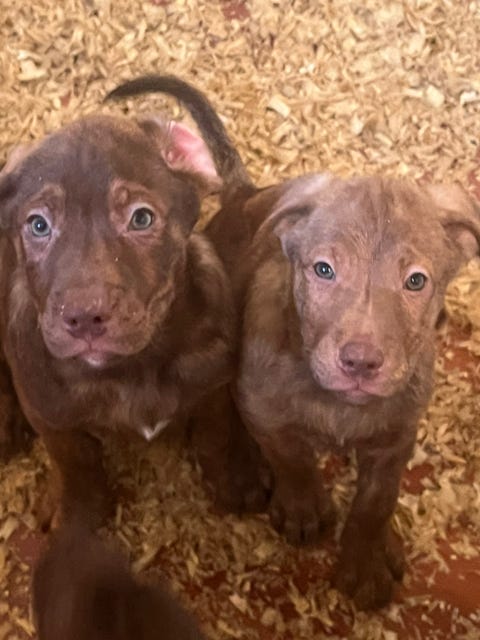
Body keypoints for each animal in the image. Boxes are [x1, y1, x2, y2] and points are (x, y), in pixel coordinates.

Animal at [0, 107, 242, 527]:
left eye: (141, 219)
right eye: (38, 225)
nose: (84, 317)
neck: (136, 367)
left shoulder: (213, 382)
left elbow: (216, 434)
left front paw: (232, 481)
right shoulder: (49, 414)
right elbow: (77, 464)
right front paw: (79, 515)